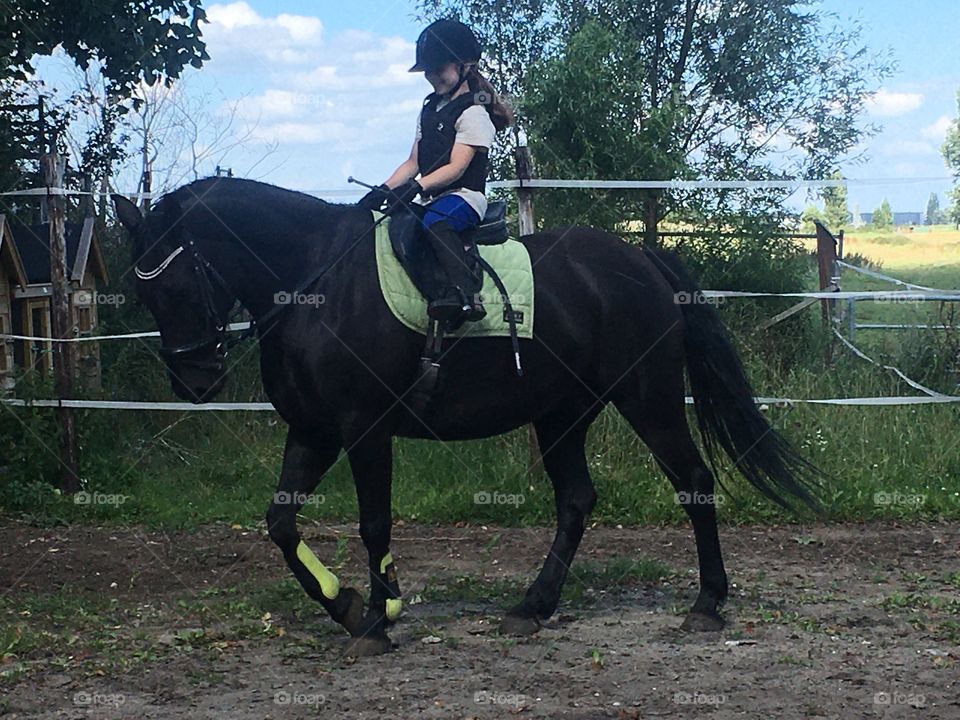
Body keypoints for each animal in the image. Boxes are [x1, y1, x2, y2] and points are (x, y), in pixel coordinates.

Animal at [113, 177, 820, 656]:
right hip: (561, 415)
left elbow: (373, 523)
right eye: (145, 294)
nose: (193, 381)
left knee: (693, 482)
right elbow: (280, 523)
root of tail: (640, 261)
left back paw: (706, 603)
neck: (318, 285)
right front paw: (346, 606)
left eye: (176, 284)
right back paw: (533, 606)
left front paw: (379, 617)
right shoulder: (312, 432)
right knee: (577, 499)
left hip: (648, 399)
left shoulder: (364, 429)